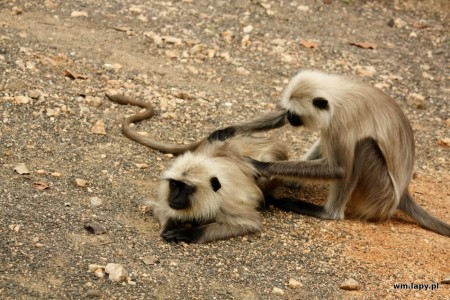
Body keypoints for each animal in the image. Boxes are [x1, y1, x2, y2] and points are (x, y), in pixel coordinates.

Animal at [107, 94, 286, 244]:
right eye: (174, 185)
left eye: (186, 188)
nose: (174, 197)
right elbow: (161, 207)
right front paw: (172, 224)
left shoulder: (226, 203)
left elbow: (248, 223)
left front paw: (188, 233)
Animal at [210, 69, 450, 237]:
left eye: (295, 116)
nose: (290, 118)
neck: (338, 96)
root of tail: (401, 195)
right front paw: (227, 131)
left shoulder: (341, 121)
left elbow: (340, 169)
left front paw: (259, 165)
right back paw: (292, 181)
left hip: (380, 193)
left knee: (361, 147)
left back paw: (327, 213)